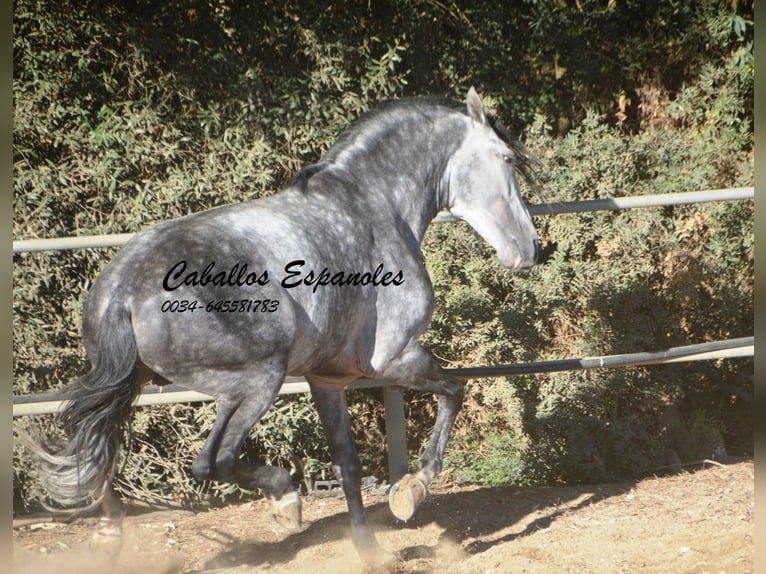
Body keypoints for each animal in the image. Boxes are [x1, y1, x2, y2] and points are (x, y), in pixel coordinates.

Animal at [24, 88, 539, 565]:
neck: (375, 209)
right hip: (255, 382)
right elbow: (454, 390)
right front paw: (412, 490)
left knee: (105, 456)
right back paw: (285, 501)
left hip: (141, 384)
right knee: (212, 460)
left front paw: (370, 550)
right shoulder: (394, 359)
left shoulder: (327, 380)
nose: (530, 249)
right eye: (508, 158)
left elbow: (348, 465)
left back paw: (107, 537)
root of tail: (124, 289)